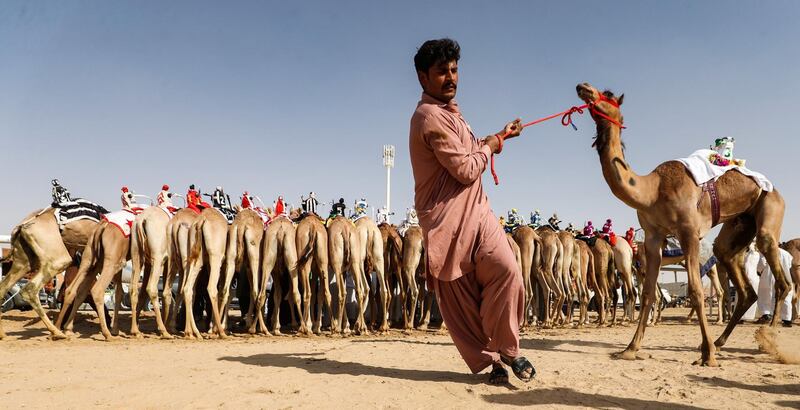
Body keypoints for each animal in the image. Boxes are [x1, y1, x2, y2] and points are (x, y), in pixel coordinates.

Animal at [0, 208, 97, 340]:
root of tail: (22, 226)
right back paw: (56, 332)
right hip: (56, 257)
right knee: (30, 289)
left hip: (24, 260)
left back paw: (2, 334)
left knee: (4, 287)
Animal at [576, 82, 788, 366]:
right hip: (741, 223)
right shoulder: (653, 237)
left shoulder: (689, 233)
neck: (652, 190)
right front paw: (631, 348)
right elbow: (648, 293)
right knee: (739, 278)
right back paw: (720, 341)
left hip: (771, 207)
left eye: (608, 95)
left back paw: (767, 340)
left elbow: (696, 292)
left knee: (778, 275)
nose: (584, 87)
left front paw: (707, 356)